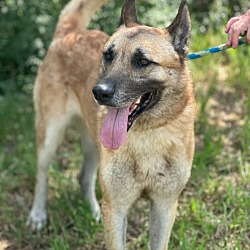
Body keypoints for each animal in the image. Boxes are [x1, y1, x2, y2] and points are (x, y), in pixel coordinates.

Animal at [93, 0, 195, 248]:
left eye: (142, 62)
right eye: (108, 55)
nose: (99, 92)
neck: (147, 134)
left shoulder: (164, 207)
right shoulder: (115, 209)